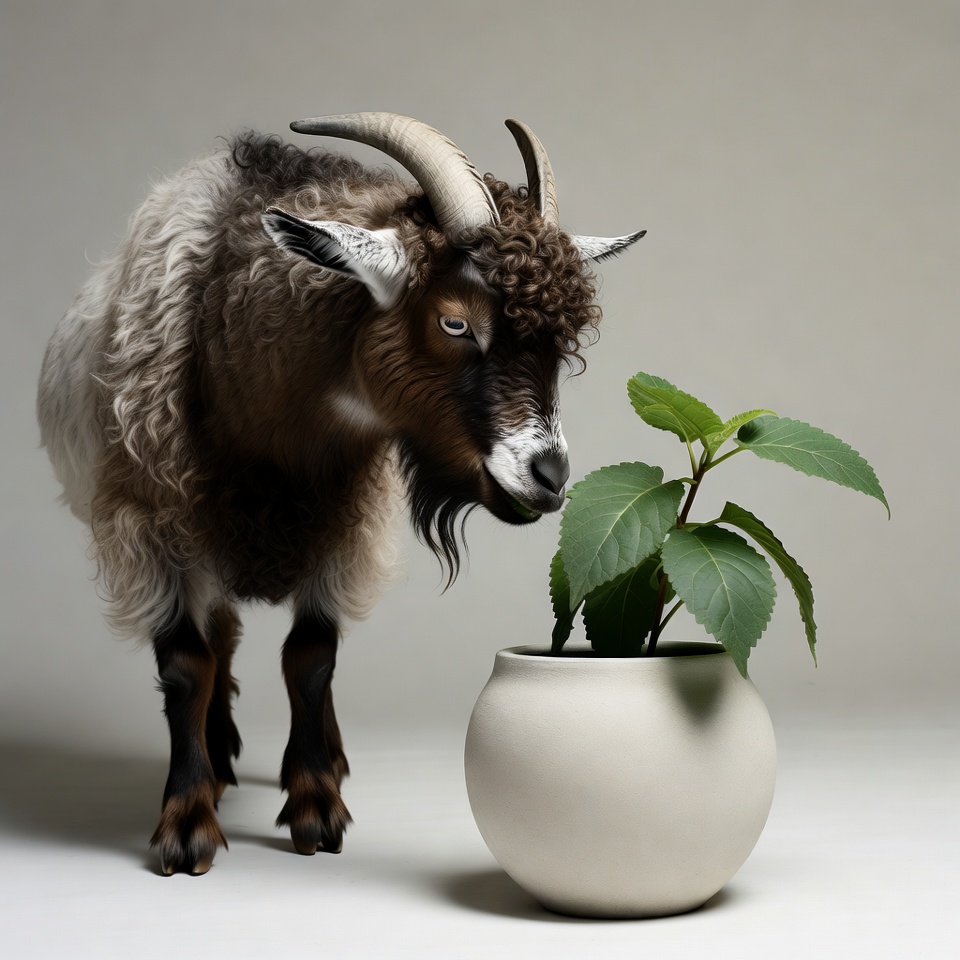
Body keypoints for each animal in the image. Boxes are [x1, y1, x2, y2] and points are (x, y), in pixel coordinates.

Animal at [37, 113, 643, 874]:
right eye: (454, 321)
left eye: (565, 340)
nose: (550, 475)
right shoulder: (148, 527)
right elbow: (185, 665)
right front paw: (187, 820)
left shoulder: (346, 528)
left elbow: (311, 658)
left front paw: (316, 803)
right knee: (218, 632)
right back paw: (220, 749)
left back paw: (322, 752)